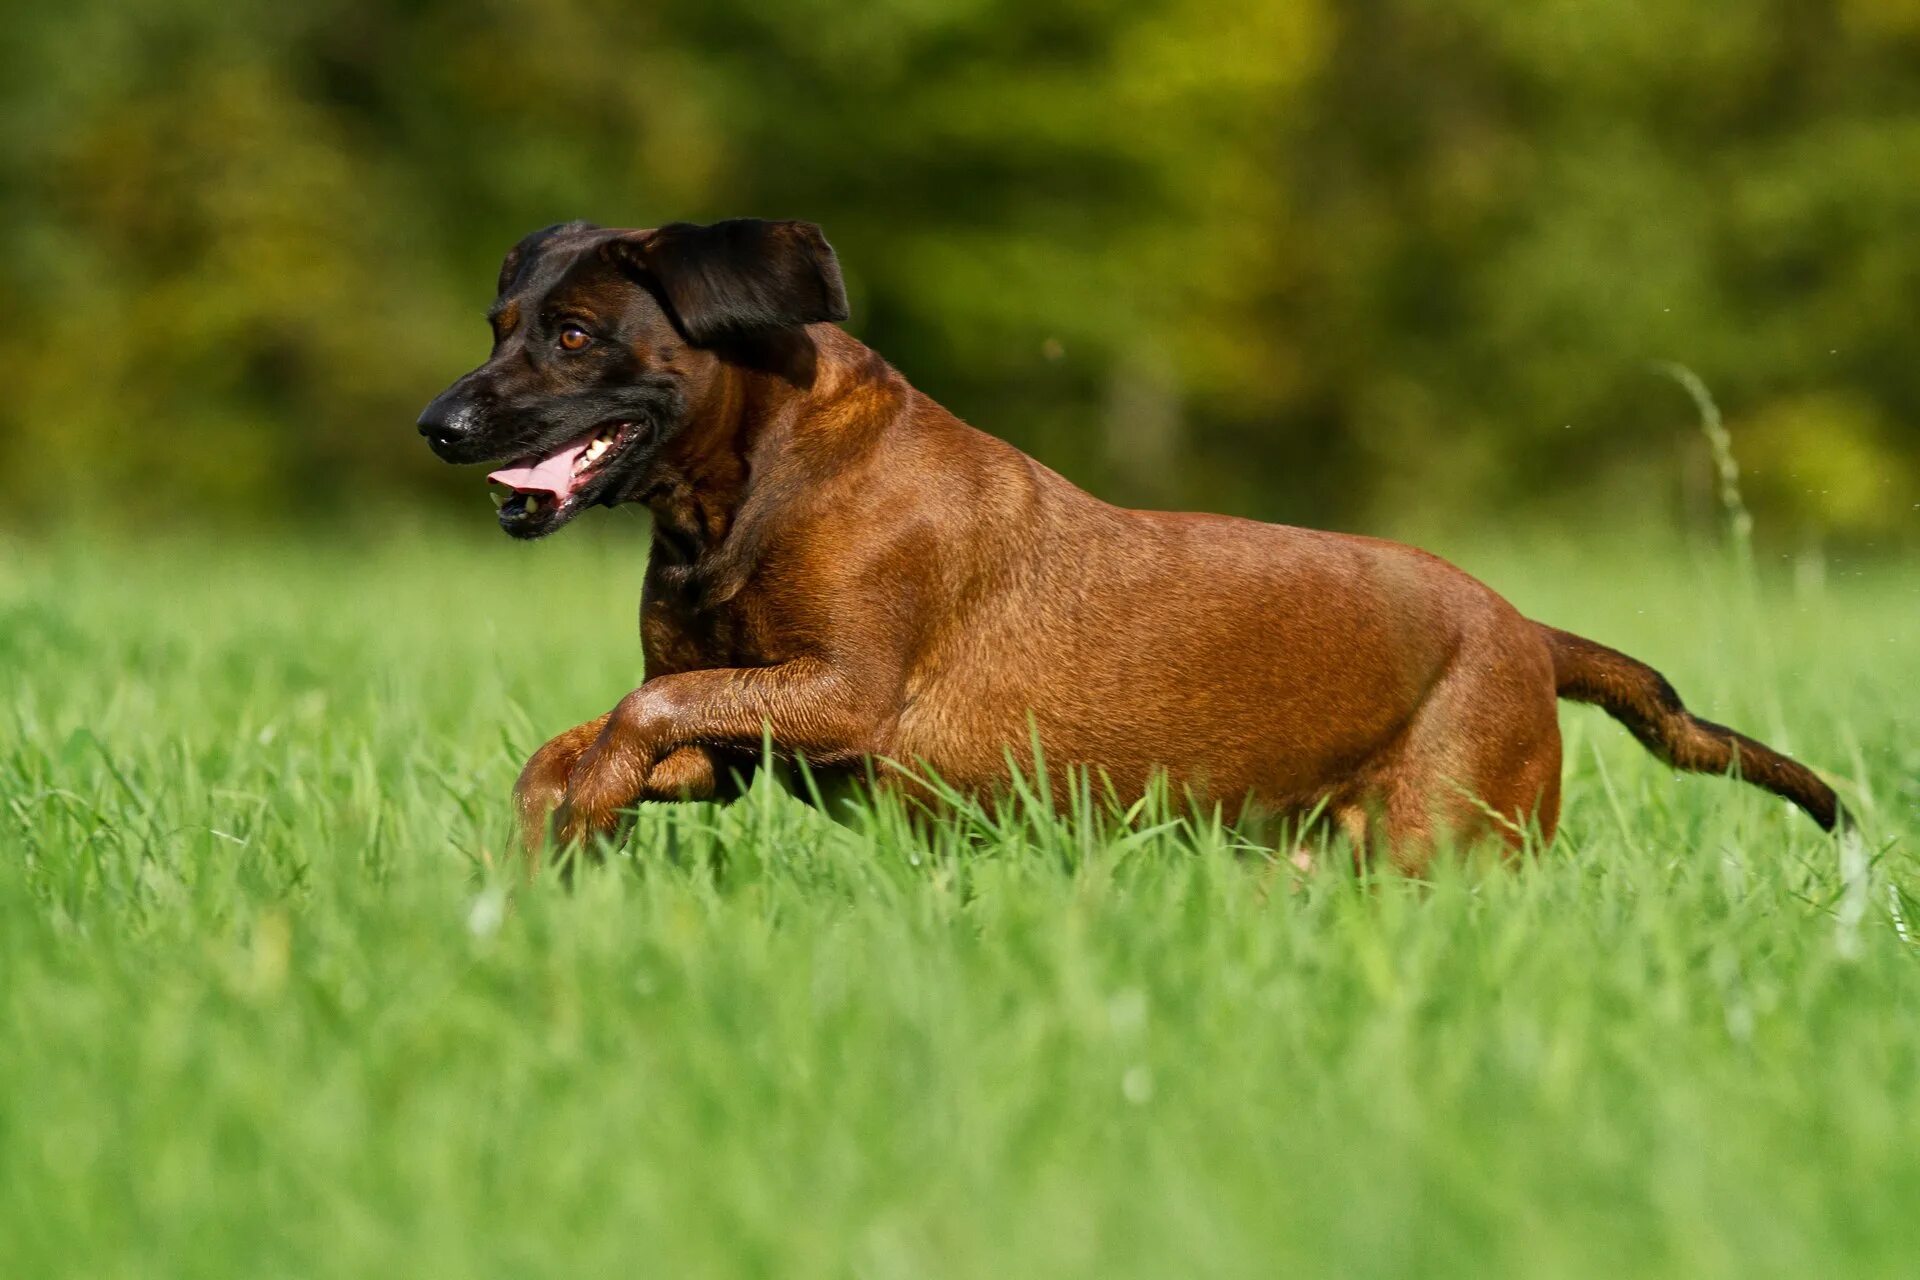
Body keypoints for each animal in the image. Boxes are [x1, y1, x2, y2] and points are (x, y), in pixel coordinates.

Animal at [420, 220, 1843, 871]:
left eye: (574, 336)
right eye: (498, 323)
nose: (442, 423)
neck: (747, 491)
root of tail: (1529, 632)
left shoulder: (845, 689)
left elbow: (637, 708)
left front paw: (580, 810)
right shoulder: (734, 738)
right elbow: (598, 731)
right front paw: (551, 831)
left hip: (1451, 837)